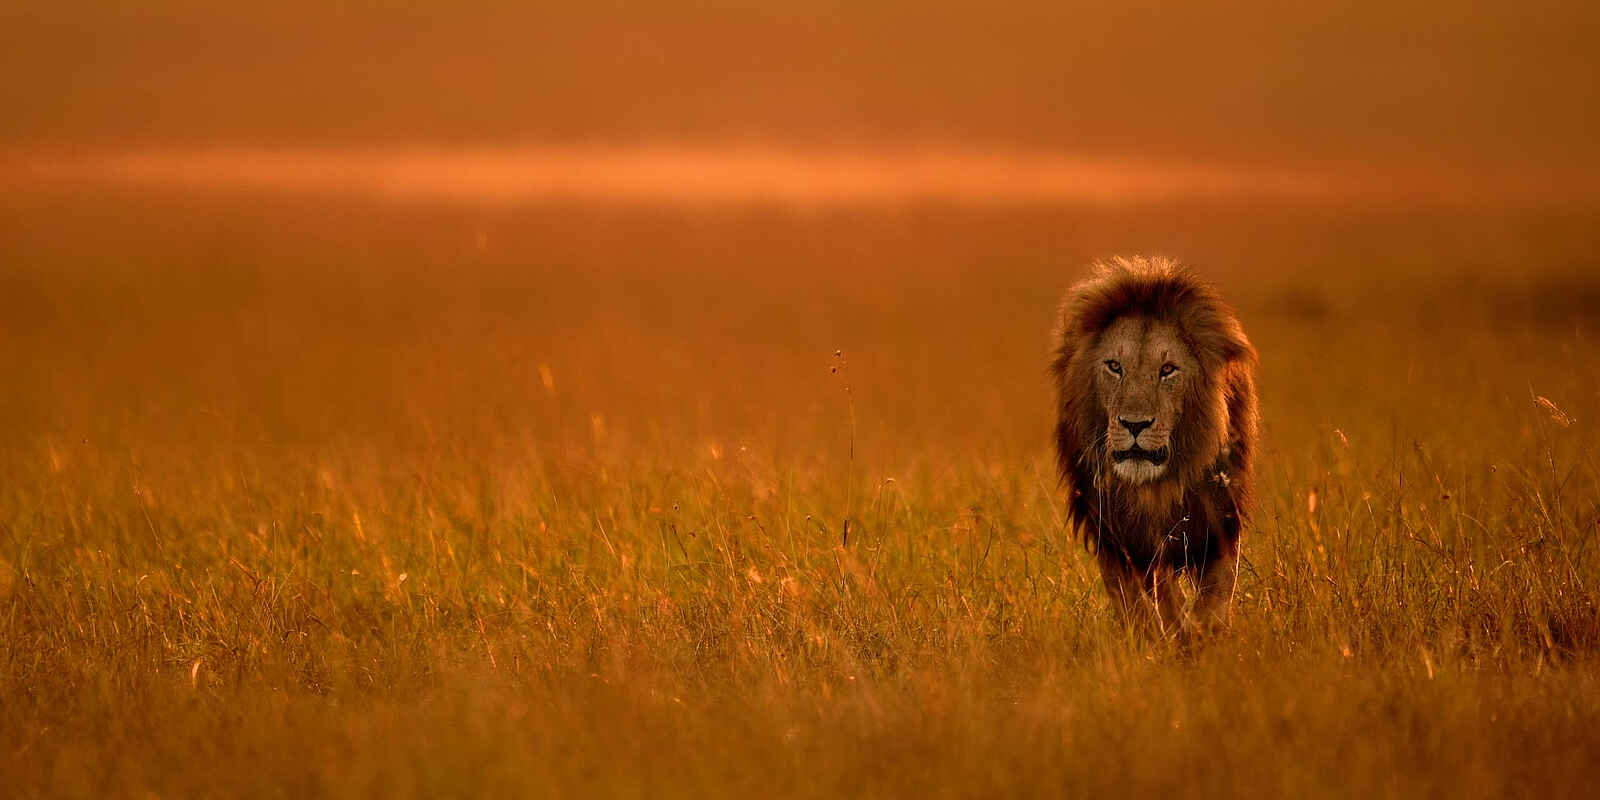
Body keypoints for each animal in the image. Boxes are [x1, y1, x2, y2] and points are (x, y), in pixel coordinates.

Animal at [1051, 256, 1258, 635]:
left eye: (1168, 370)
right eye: (1114, 366)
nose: (1135, 425)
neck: (1155, 488)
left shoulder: (1219, 522)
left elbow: (1213, 597)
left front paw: (1202, 637)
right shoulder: (1116, 538)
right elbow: (1143, 602)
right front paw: (1159, 637)